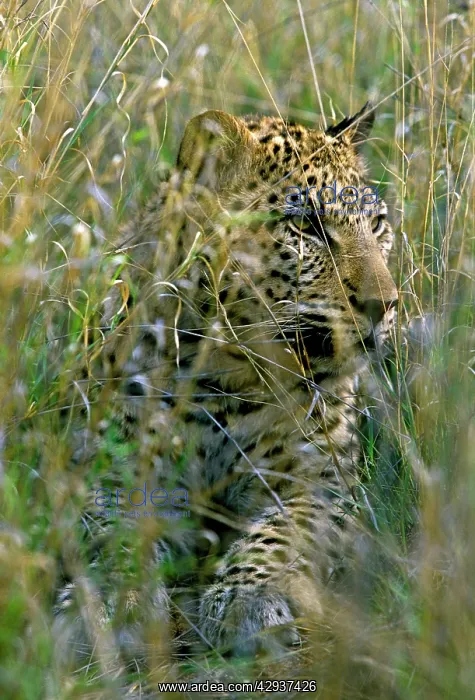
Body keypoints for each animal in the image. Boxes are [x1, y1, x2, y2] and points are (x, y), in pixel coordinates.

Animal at [55, 102, 398, 671]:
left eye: (378, 226)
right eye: (307, 227)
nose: (385, 304)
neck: (226, 373)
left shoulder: (323, 480)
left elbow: (281, 534)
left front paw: (248, 601)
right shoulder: (112, 468)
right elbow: (117, 530)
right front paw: (109, 602)